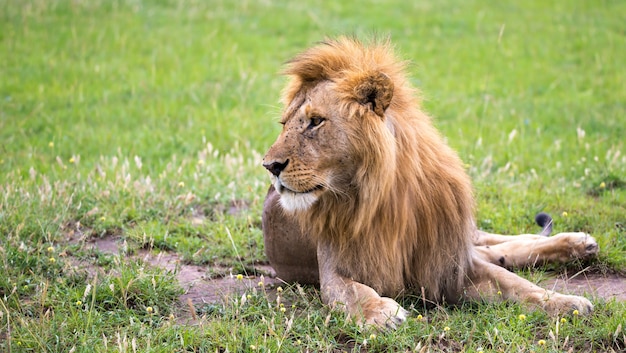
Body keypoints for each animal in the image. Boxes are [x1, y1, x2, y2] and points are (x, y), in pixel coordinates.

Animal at [258, 36, 596, 328]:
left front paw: (565, 303)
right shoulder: (333, 268)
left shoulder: (450, 261)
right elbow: (352, 290)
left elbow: (517, 284)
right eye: (284, 124)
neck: (385, 197)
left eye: (315, 121)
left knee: (500, 243)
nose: (270, 166)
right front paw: (380, 312)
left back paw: (577, 243)